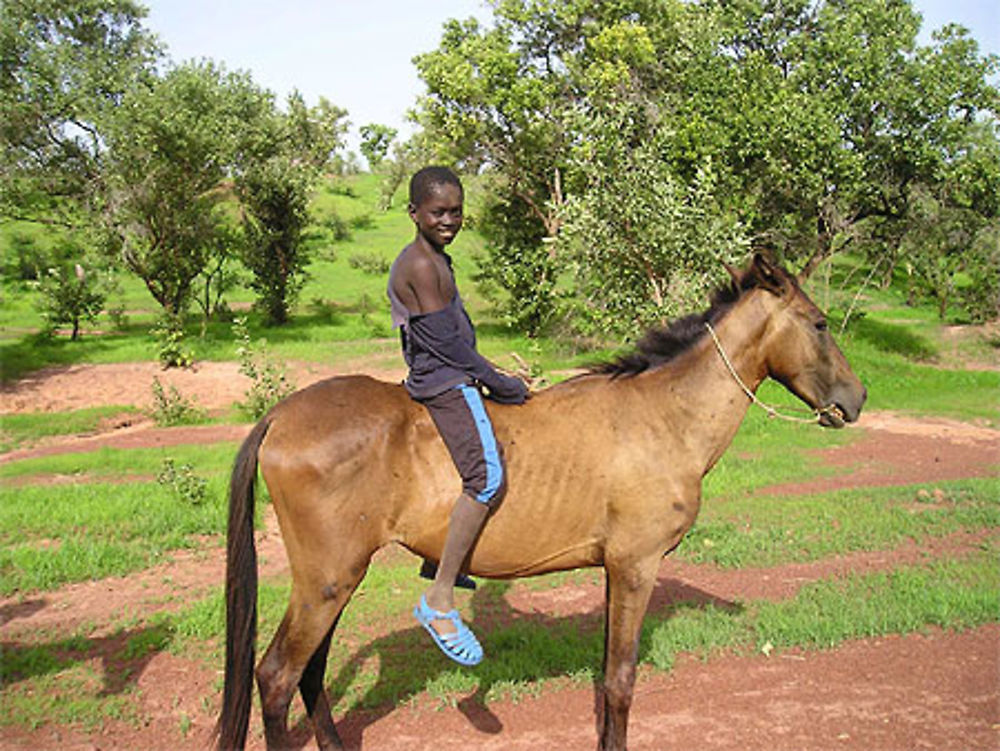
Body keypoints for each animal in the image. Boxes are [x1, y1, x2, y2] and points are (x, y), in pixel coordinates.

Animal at [213, 254, 868, 751]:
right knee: (277, 677)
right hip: (329, 579)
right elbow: (621, 682)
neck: (663, 416)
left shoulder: (616, 571)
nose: (857, 397)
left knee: (309, 673)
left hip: (332, 581)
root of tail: (281, 414)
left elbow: (607, 680)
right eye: (819, 323)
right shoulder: (635, 567)